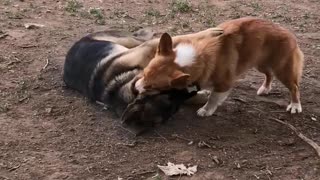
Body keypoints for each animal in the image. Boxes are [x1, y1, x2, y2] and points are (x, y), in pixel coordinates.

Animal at [63, 27, 222, 134]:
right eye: (174, 108)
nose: (197, 87)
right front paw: (204, 97)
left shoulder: (144, 50)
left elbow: (182, 37)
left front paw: (212, 32)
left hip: (128, 41)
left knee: (148, 38)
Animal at [134, 17, 304, 116]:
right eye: (144, 73)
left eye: (152, 87)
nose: (135, 88)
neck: (195, 58)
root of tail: (289, 33)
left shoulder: (224, 83)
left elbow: (213, 98)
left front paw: (206, 110)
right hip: (259, 63)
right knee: (269, 74)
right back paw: (265, 88)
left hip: (282, 69)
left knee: (294, 87)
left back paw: (295, 106)